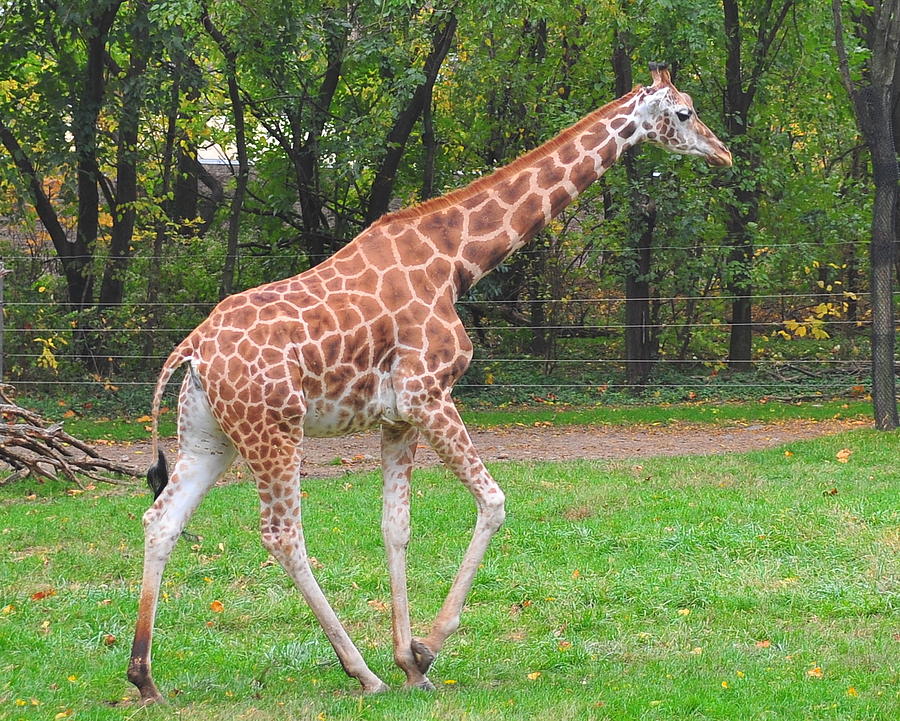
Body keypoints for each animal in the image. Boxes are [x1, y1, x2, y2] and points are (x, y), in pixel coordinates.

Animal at [126, 63, 732, 704]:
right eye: (685, 112)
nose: (723, 152)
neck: (456, 261)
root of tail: (192, 350)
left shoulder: (398, 417)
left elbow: (396, 529)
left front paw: (409, 660)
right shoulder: (428, 393)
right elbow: (493, 503)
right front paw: (427, 647)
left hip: (210, 438)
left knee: (162, 520)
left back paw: (145, 678)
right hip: (274, 431)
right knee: (282, 535)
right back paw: (360, 672)